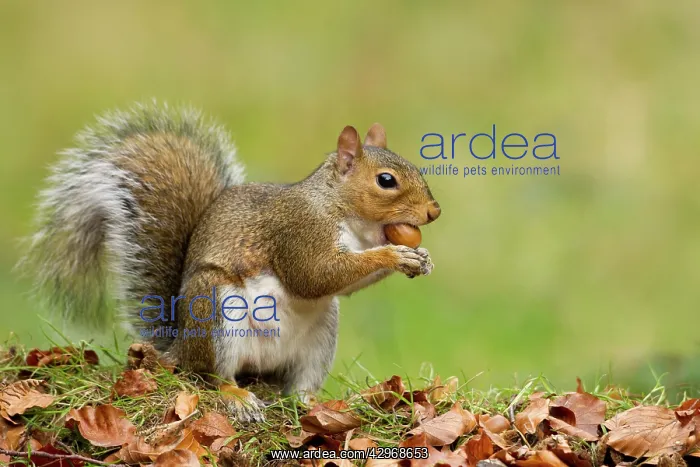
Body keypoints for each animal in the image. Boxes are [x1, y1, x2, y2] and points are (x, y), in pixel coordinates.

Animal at [21, 102, 441, 421]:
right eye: (386, 180)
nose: (434, 211)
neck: (345, 214)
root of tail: (180, 348)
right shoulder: (299, 233)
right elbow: (315, 276)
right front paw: (394, 255)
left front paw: (419, 258)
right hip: (216, 313)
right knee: (211, 376)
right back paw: (237, 397)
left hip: (319, 338)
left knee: (297, 386)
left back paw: (311, 403)